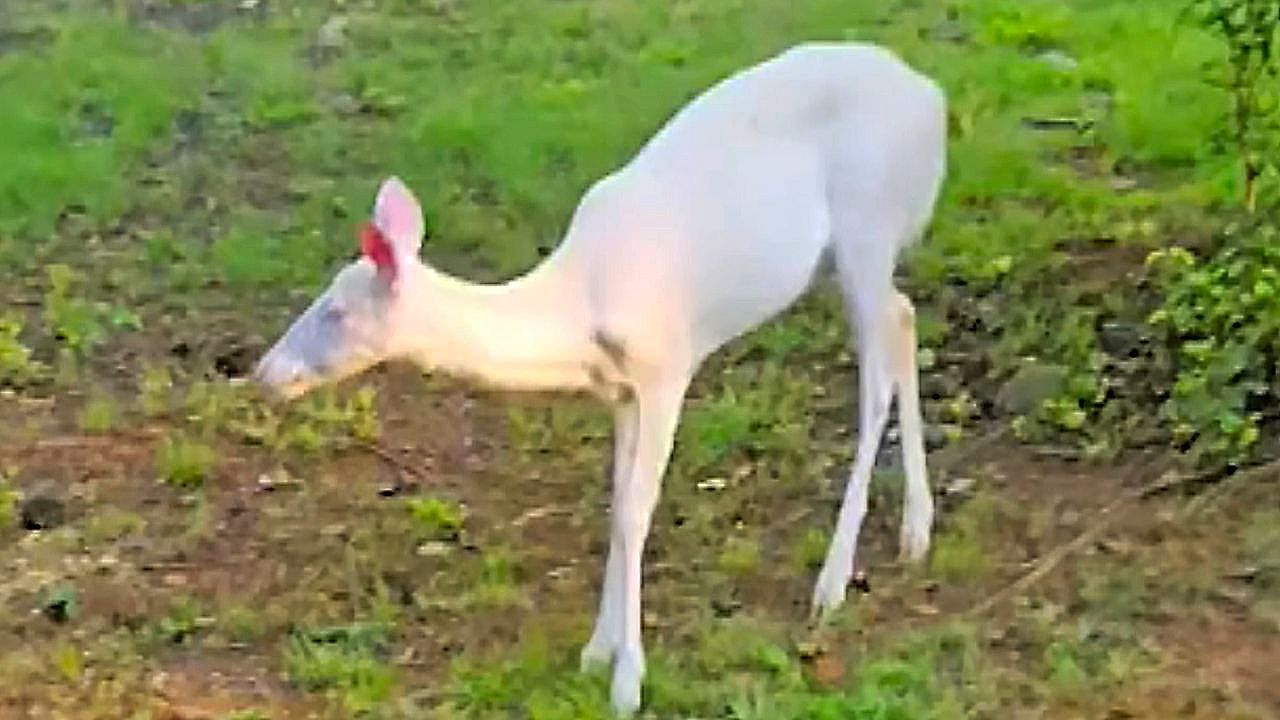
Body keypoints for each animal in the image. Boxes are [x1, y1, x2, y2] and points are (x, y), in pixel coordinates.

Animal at [253, 41, 946, 716]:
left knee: (876, 374)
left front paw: (628, 682)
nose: (263, 373)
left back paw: (832, 581)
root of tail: (933, 100)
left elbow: (638, 511)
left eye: (335, 312)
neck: (577, 313)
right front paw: (596, 651)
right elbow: (616, 506)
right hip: (846, 257)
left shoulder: (669, 367)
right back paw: (916, 530)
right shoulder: (620, 392)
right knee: (905, 319)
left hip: (868, 222)